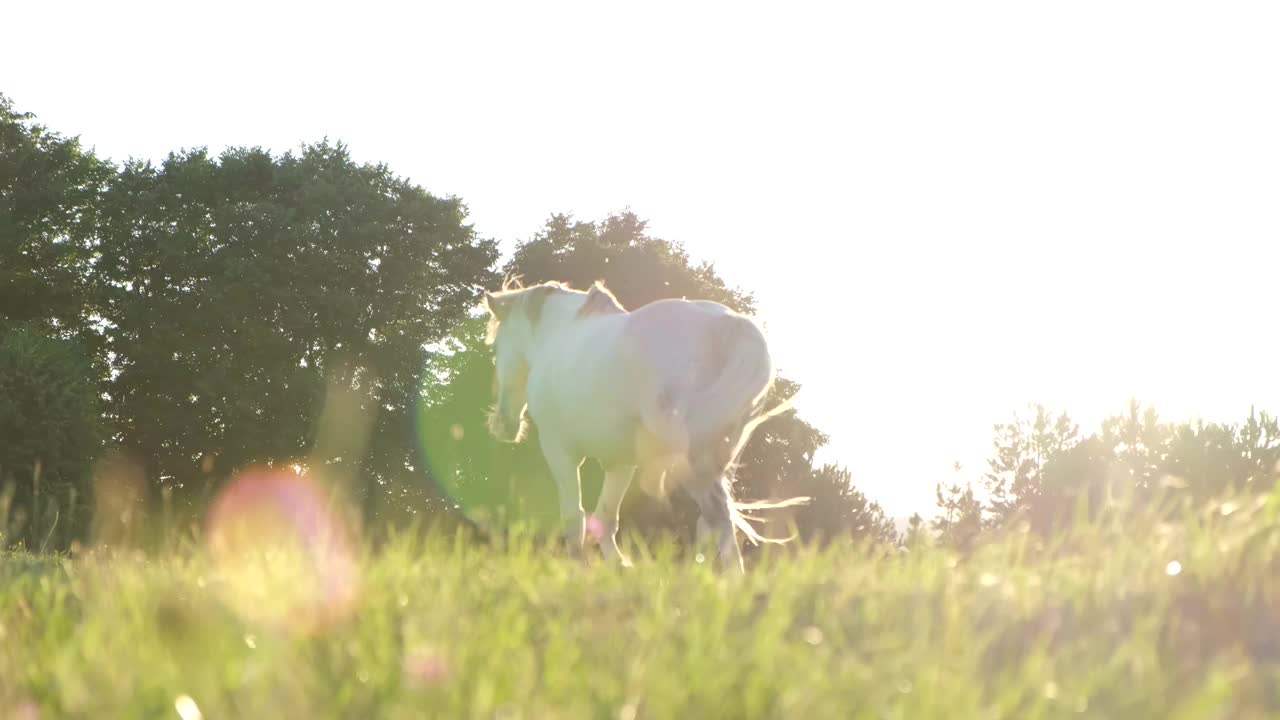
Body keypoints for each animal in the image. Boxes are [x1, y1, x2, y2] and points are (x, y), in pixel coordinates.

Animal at [481, 275, 808, 571]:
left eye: (496, 346)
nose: (503, 425)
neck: (560, 335)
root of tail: (730, 324)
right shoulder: (620, 462)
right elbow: (606, 517)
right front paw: (618, 566)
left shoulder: (559, 450)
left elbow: (574, 516)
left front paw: (580, 567)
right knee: (712, 521)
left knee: (718, 515)